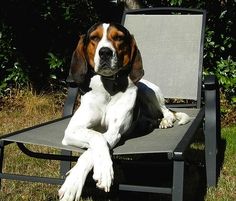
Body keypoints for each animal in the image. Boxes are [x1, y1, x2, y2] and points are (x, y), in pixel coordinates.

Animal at [58, 22, 190, 201]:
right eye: (94, 37)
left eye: (119, 37)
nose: (105, 52)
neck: (108, 88)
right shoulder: (72, 130)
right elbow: (97, 136)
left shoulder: (115, 132)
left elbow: (94, 146)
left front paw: (88, 176)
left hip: (146, 90)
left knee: (166, 111)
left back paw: (165, 121)